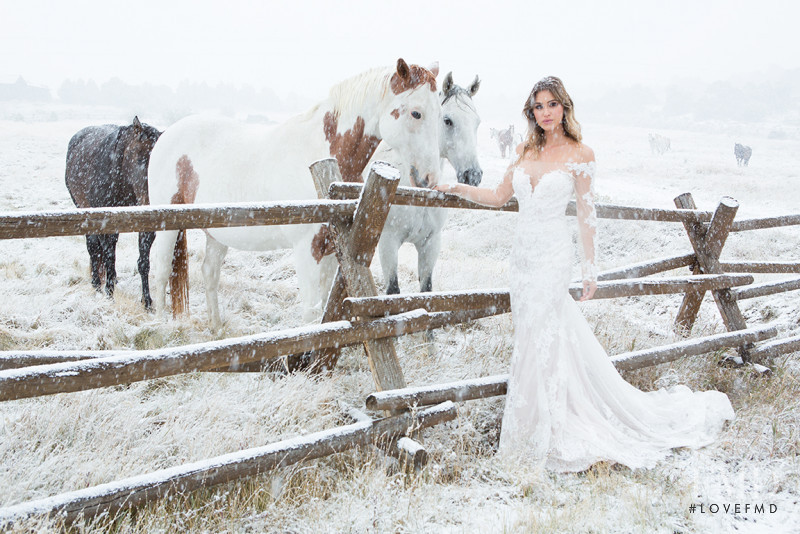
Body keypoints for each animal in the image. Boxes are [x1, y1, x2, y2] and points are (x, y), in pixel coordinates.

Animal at [65, 117, 161, 310]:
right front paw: (109, 293)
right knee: (93, 247)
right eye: (139, 157)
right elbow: (108, 256)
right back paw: (97, 283)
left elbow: (143, 262)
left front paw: (147, 302)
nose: (150, 201)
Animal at [147, 58, 440, 328]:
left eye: (440, 115)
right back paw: (161, 326)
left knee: (209, 272)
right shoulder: (306, 251)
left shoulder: (331, 251)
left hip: (217, 232)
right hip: (167, 225)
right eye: (416, 113)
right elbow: (310, 314)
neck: (321, 157)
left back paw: (217, 328)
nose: (430, 179)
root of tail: (166, 134)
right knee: (161, 271)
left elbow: (324, 310)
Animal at [368, 70, 482, 298]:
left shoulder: (430, 244)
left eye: (477, 122)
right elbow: (392, 291)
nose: (473, 175)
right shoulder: (388, 243)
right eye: (447, 120)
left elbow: (426, 290)